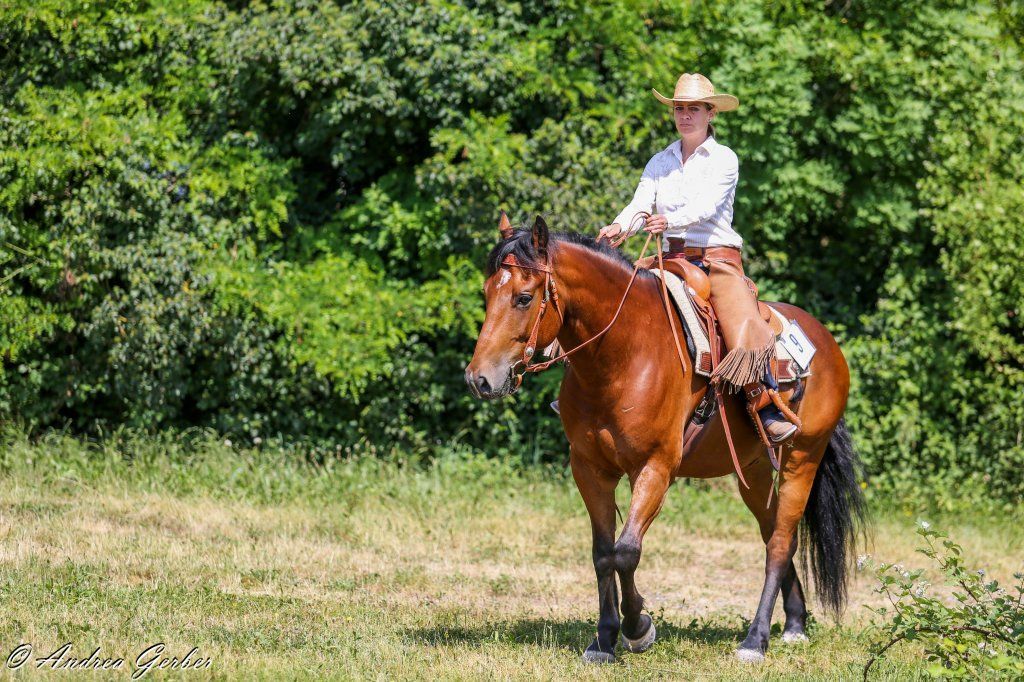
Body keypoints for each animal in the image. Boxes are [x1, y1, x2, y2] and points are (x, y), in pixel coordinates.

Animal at [464, 214, 865, 663]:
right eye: (486, 294)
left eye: (523, 297)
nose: (480, 379)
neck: (623, 352)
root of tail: (826, 341)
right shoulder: (589, 469)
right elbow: (603, 554)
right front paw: (604, 639)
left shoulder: (655, 468)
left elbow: (625, 552)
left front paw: (638, 627)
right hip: (756, 469)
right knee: (778, 535)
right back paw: (795, 624)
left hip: (803, 457)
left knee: (779, 543)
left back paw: (755, 640)